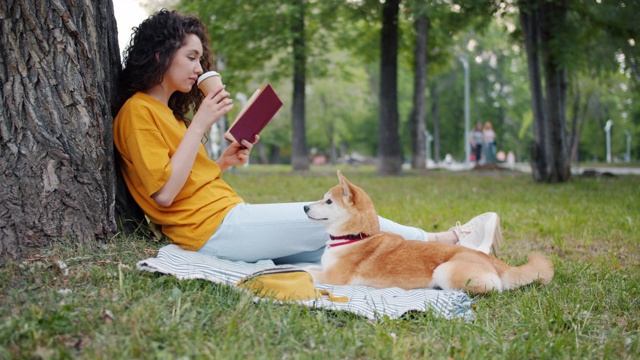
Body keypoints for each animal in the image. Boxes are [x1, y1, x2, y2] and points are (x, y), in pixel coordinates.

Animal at [302, 170, 552, 294]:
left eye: (328, 201)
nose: (304, 207)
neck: (355, 238)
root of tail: (496, 262)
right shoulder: (325, 269)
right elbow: (307, 267)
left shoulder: (333, 278)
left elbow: (306, 271)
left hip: (445, 270)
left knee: (493, 289)